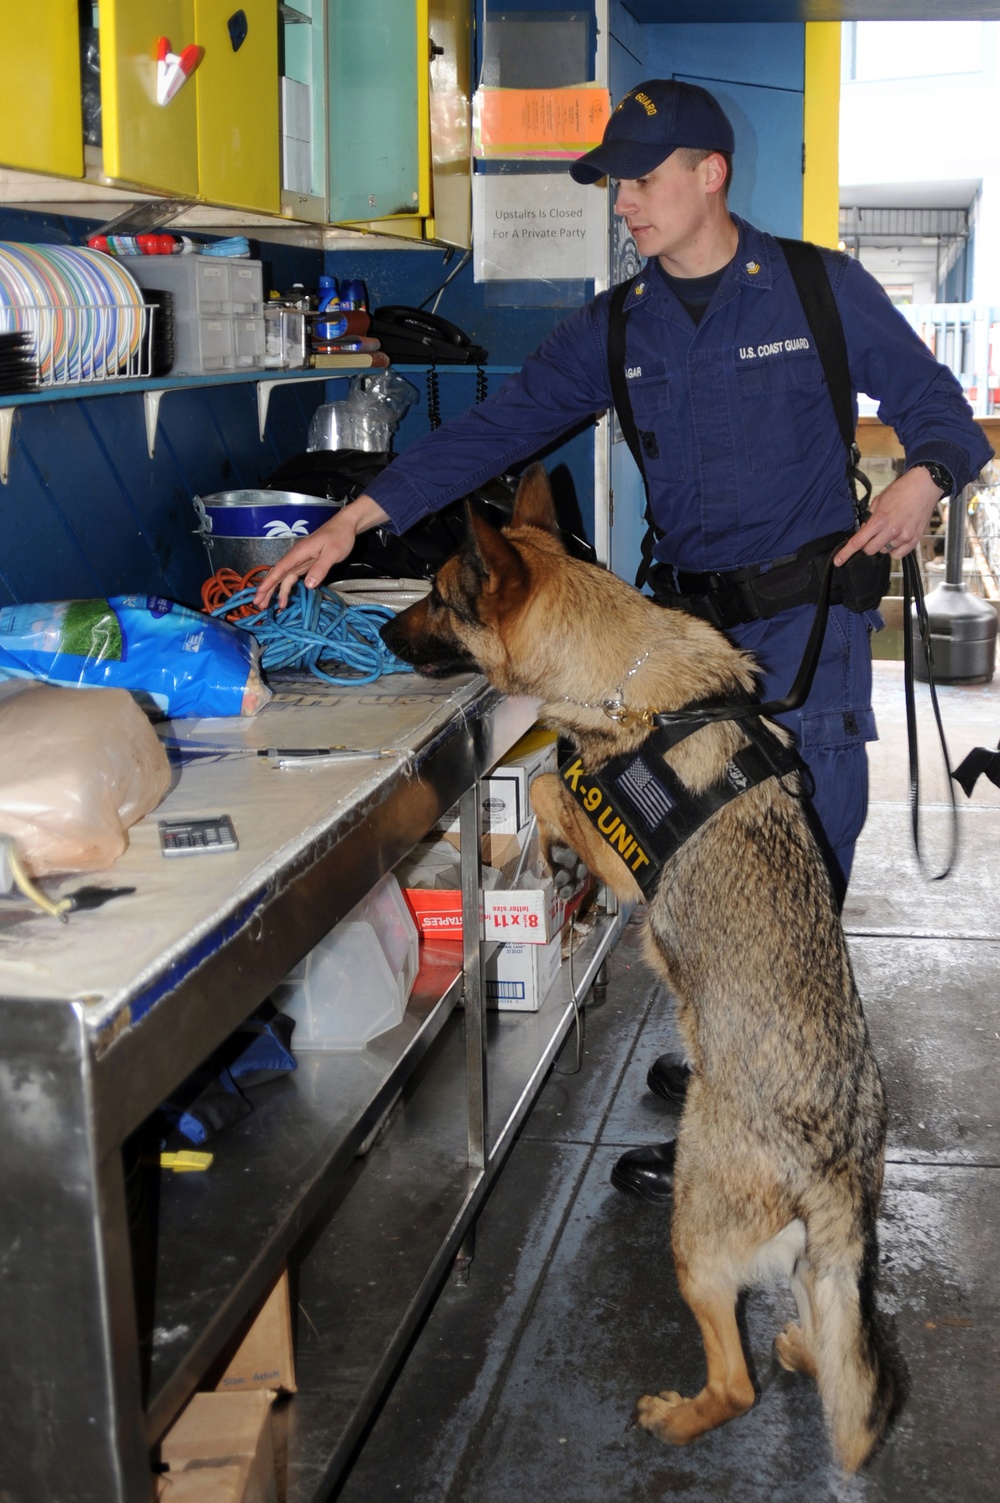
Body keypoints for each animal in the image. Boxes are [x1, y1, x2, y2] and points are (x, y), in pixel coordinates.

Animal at [380, 459, 896, 1466]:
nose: (380, 630)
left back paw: (682, 1413)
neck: (624, 675)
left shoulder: (616, 844)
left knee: (737, 1383)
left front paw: (545, 849)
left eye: (437, 596)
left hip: (692, 1238)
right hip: (811, 1268)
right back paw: (804, 1348)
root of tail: (831, 1159)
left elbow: (550, 780)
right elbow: (551, 776)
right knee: (833, 1345)